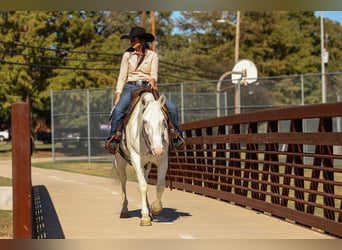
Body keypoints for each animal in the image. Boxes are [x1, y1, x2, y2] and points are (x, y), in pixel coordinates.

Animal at [112, 91, 170, 226]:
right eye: (145, 121)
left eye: (163, 121)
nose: (158, 150)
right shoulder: (136, 159)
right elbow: (142, 186)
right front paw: (145, 217)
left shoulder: (163, 160)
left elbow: (160, 185)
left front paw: (155, 208)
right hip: (119, 162)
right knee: (123, 181)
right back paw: (124, 211)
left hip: (146, 165)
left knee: (145, 179)